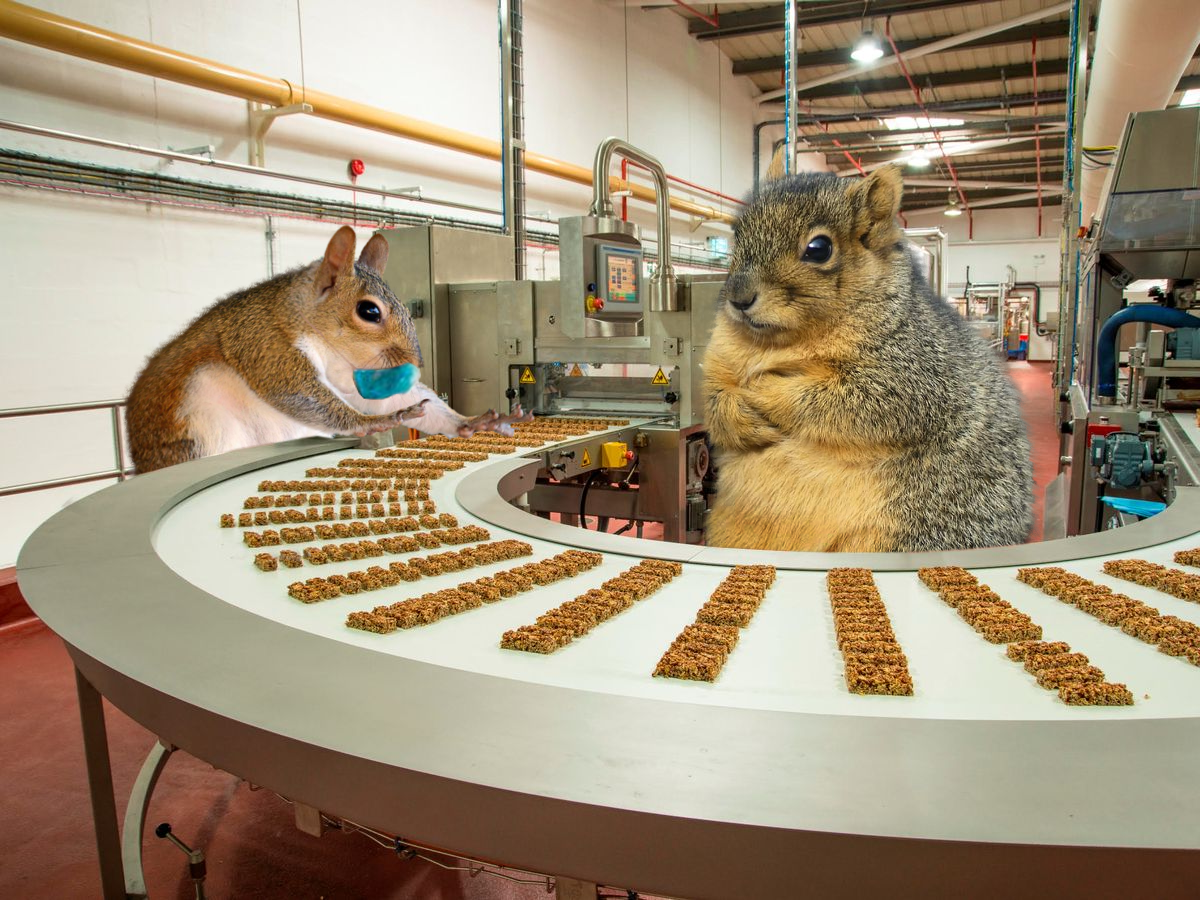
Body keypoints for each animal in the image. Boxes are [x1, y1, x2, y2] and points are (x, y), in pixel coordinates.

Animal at [125, 225, 530, 475]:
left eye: (405, 305)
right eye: (369, 311)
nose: (416, 363)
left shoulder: (347, 372)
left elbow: (382, 398)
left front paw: (471, 422)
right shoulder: (263, 340)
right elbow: (295, 392)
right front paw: (374, 422)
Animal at [700, 165, 1032, 554]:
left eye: (819, 249)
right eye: (736, 235)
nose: (738, 298)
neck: (774, 343)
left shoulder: (918, 373)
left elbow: (851, 402)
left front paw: (764, 390)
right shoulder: (719, 361)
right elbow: (714, 400)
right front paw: (738, 416)